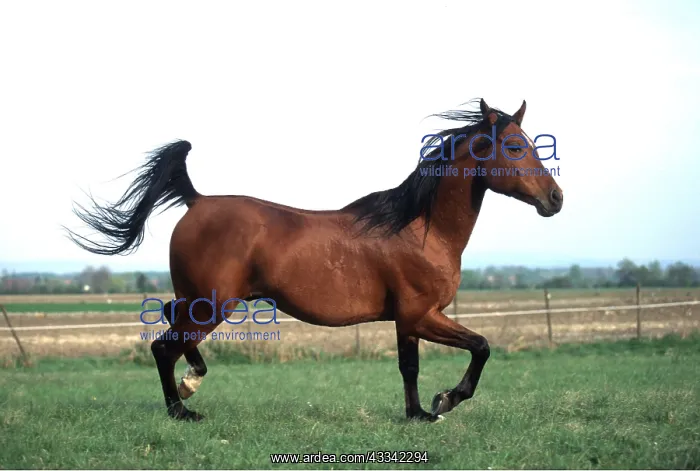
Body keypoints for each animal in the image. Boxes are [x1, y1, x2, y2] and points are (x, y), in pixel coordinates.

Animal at [64, 98, 563, 422]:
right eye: (515, 147)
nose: (555, 199)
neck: (421, 228)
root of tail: (196, 200)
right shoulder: (421, 314)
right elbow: (481, 346)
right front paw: (447, 400)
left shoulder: (408, 319)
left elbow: (410, 366)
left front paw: (418, 412)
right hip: (212, 305)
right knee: (163, 345)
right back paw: (183, 406)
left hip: (197, 301)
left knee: (169, 326)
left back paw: (190, 387)